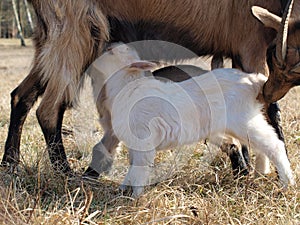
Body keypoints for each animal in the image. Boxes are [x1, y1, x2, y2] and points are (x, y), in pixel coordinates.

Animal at [1, 0, 298, 176]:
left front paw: (248, 168)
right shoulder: (251, 43)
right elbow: (269, 108)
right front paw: (269, 170)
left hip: (53, 38)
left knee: (20, 95)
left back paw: (10, 163)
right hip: (77, 30)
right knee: (49, 109)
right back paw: (66, 173)